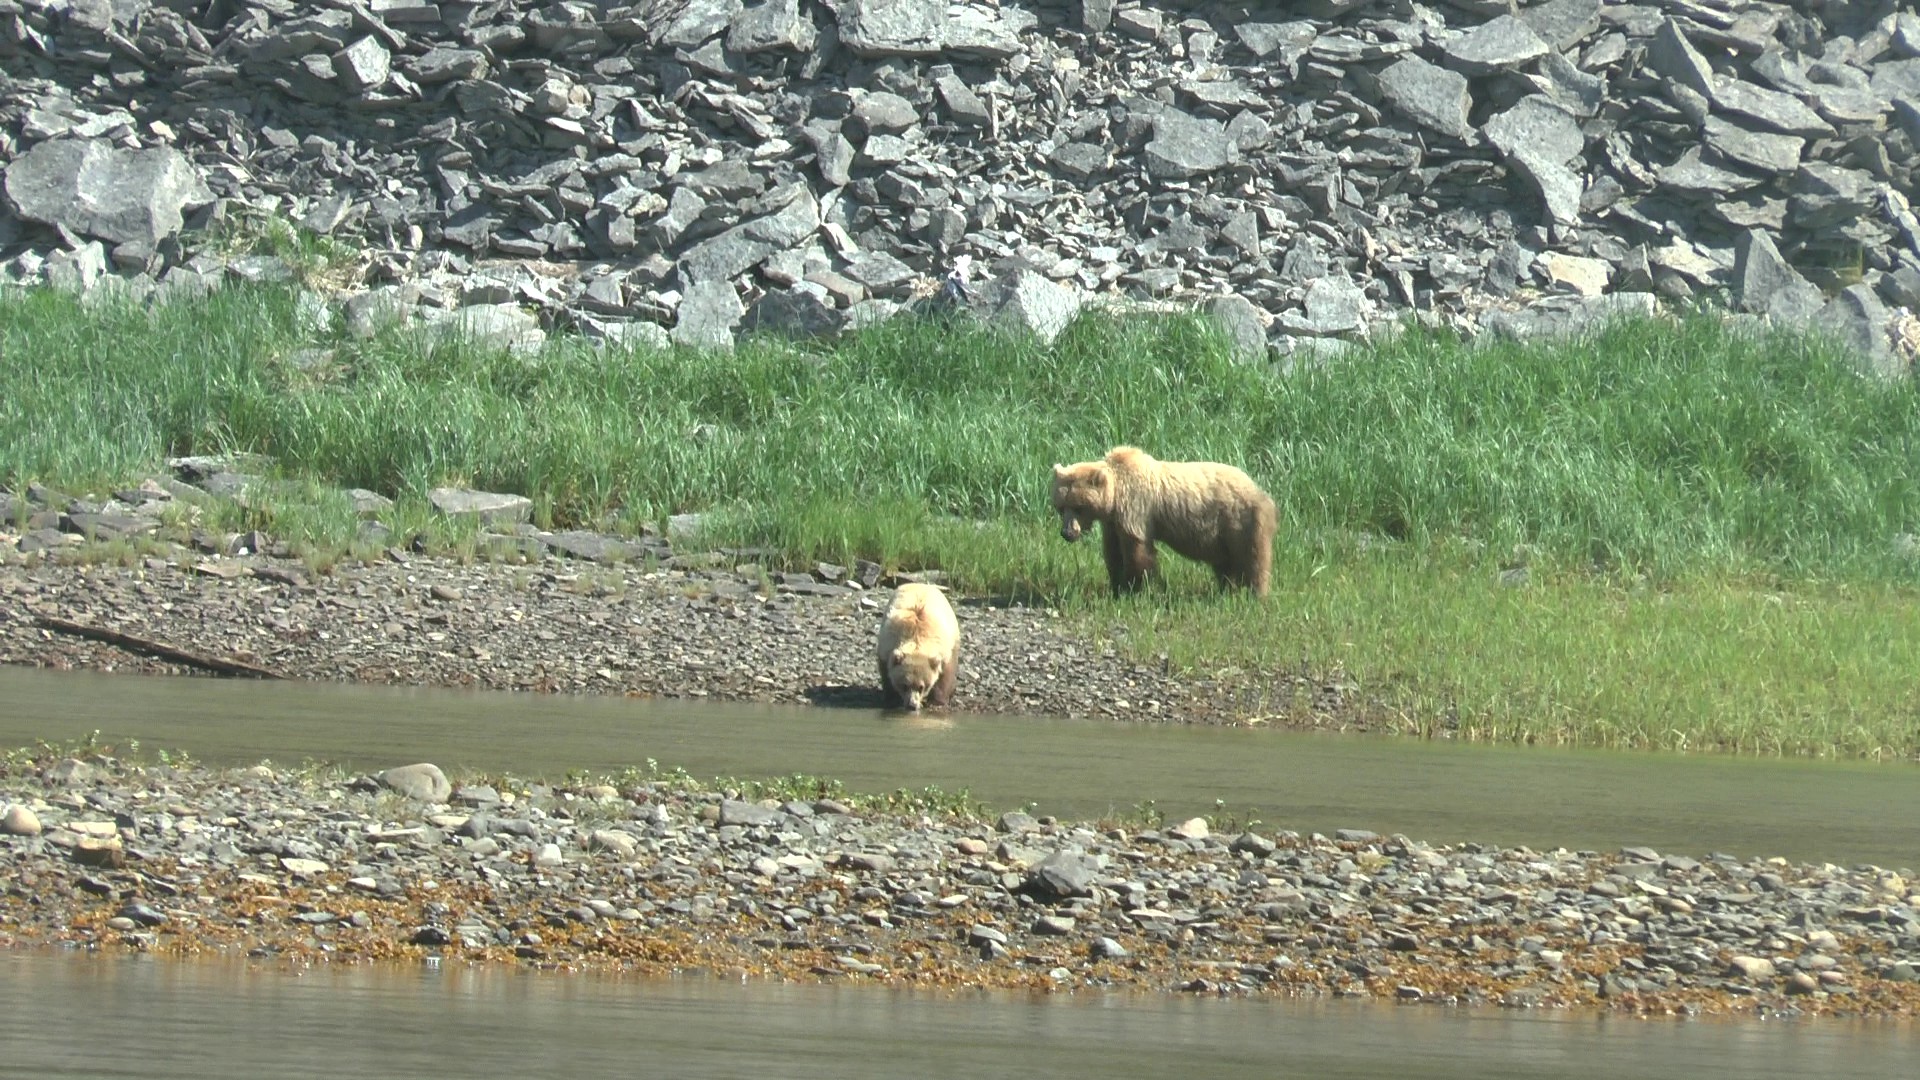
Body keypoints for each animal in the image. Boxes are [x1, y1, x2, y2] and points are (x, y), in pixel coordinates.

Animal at [876, 582, 960, 711]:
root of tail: (921, 583)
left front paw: (936, 701)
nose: (912, 705)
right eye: (905, 685)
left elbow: (945, 675)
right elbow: (886, 672)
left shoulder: (944, 650)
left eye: (921, 686)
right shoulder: (887, 644)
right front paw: (891, 698)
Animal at [1050, 445, 1277, 597]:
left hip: (1240, 520)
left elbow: (1138, 553)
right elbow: (1113, 552)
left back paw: (1255, 594)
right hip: (1222, 537)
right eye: (1061, 507)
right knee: (1226, 563)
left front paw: (1136, 588)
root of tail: (1259, 489)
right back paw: (1226, 589)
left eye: (1079, 507)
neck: (1115, 498)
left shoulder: (1135, 509)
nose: (1067, 533)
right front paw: (1117, 585)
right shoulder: (1114, 522)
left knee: (1253, 559)